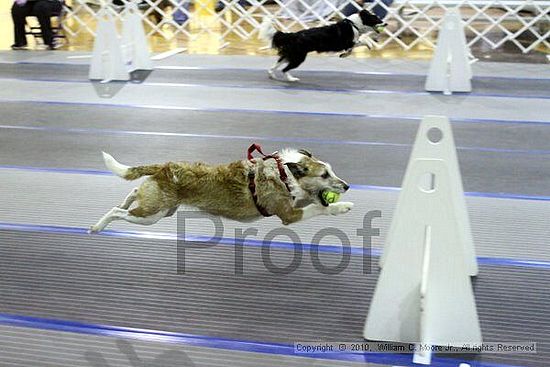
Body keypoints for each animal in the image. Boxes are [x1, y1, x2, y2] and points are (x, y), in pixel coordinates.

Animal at [90, 145, 354, 234]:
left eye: (332, 171)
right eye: (324, 175)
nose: (347, 186)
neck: (282, 172)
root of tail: (165, 166)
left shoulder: (293, 202)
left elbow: (312, 202)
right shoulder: (289, 214)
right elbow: (320, 209)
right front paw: (342, 206)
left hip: (161, 208)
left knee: (134, 192)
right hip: (151, 215)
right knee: (116, 211)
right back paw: (97, 226)